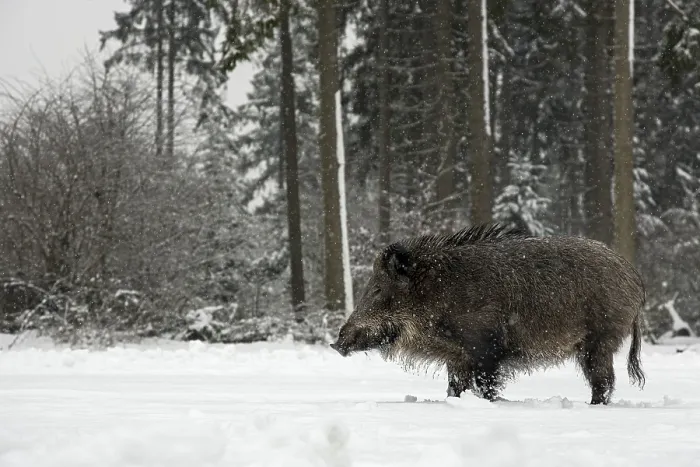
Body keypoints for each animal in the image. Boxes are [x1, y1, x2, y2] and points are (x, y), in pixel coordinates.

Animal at [330, 223, 646, 405]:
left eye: (377, 290)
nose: (336, 342)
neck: (434, 293)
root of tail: (634, 278)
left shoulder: (485, 349)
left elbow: (485, 386)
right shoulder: (457, 357)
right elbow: (455, 388)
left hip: (599, 340)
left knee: (603, 381)